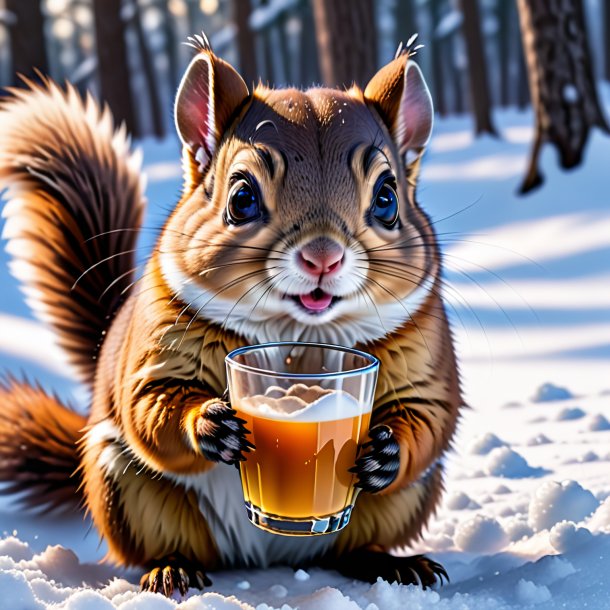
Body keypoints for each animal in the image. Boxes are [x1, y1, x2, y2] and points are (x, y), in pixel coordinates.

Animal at [0, 34, 458, 592]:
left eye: (388, 198)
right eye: (241, 197)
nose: (322, 257)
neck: (298, 332)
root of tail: (270, 556)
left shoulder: (424, 351)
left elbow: (430, 413)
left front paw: (384, 451)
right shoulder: (158, 343)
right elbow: (149, 403)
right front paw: (210, 424)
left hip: (402, 504)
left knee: (357, 542)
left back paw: (390, 563)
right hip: (124, 486)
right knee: (169, 539)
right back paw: (172, 569)